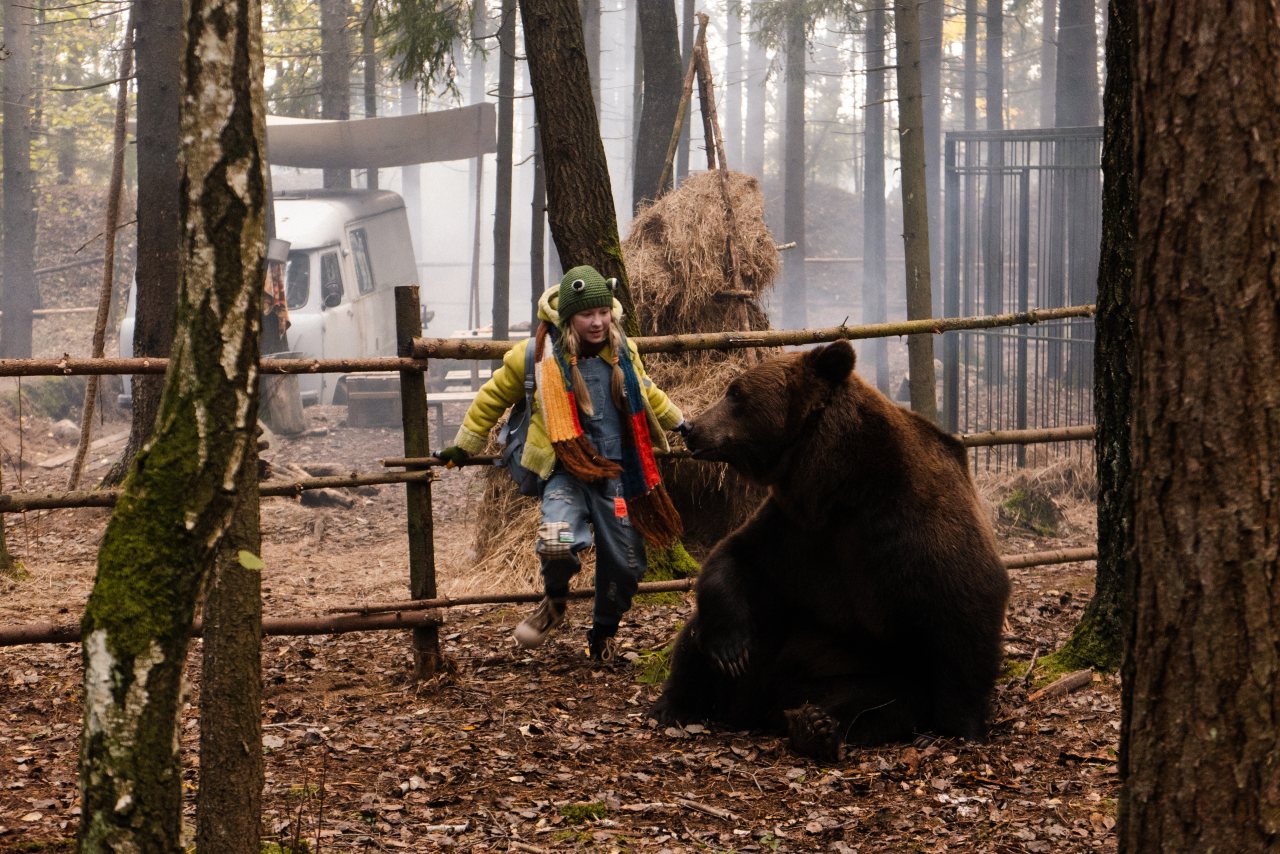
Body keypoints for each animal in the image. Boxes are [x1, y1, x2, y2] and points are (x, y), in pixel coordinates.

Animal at [650, 338, 1008, 757]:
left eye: (735, 393)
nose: (692, 428)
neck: (840, 483)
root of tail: (760, 707)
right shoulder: (798, 528)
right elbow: (735, 559)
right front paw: (729, 651)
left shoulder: (908, 526)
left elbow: (967, 605)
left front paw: (959, 727)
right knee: (703, 636)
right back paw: (677, 704)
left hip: (865, 670)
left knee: (879, 701)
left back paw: (816, 724)